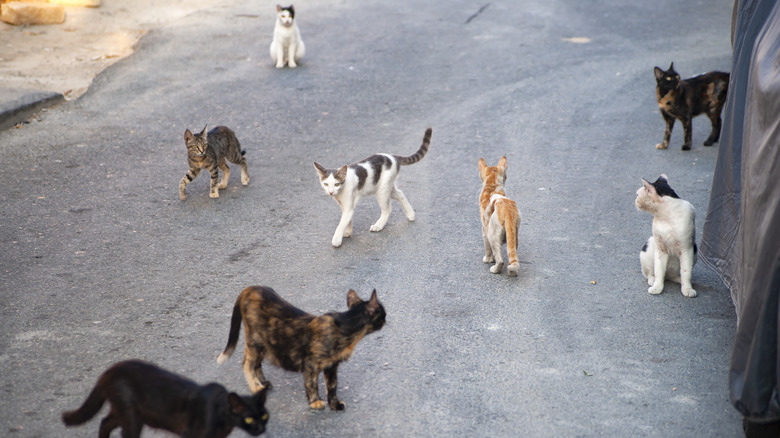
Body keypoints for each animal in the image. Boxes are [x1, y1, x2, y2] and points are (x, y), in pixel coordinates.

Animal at [61, 360, 268, 438]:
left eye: (265, 416)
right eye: (249, 418)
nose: (261, 429)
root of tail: (111, 370)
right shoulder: (192, 435)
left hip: (128, 413)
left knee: (105, 422)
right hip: (131, 416)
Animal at [215, 288, 386, 410]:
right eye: (383, 312)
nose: (386, 319)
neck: (345, 327)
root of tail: (249, 289)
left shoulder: (332, 366)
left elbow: (332, 386)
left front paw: (334, 404)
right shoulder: (311, 364)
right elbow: (311, 383)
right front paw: (315, 402)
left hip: (265, 343)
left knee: (255, 362)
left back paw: (263, 384)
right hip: (254, 340)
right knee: (247, 363)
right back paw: (256, 387)